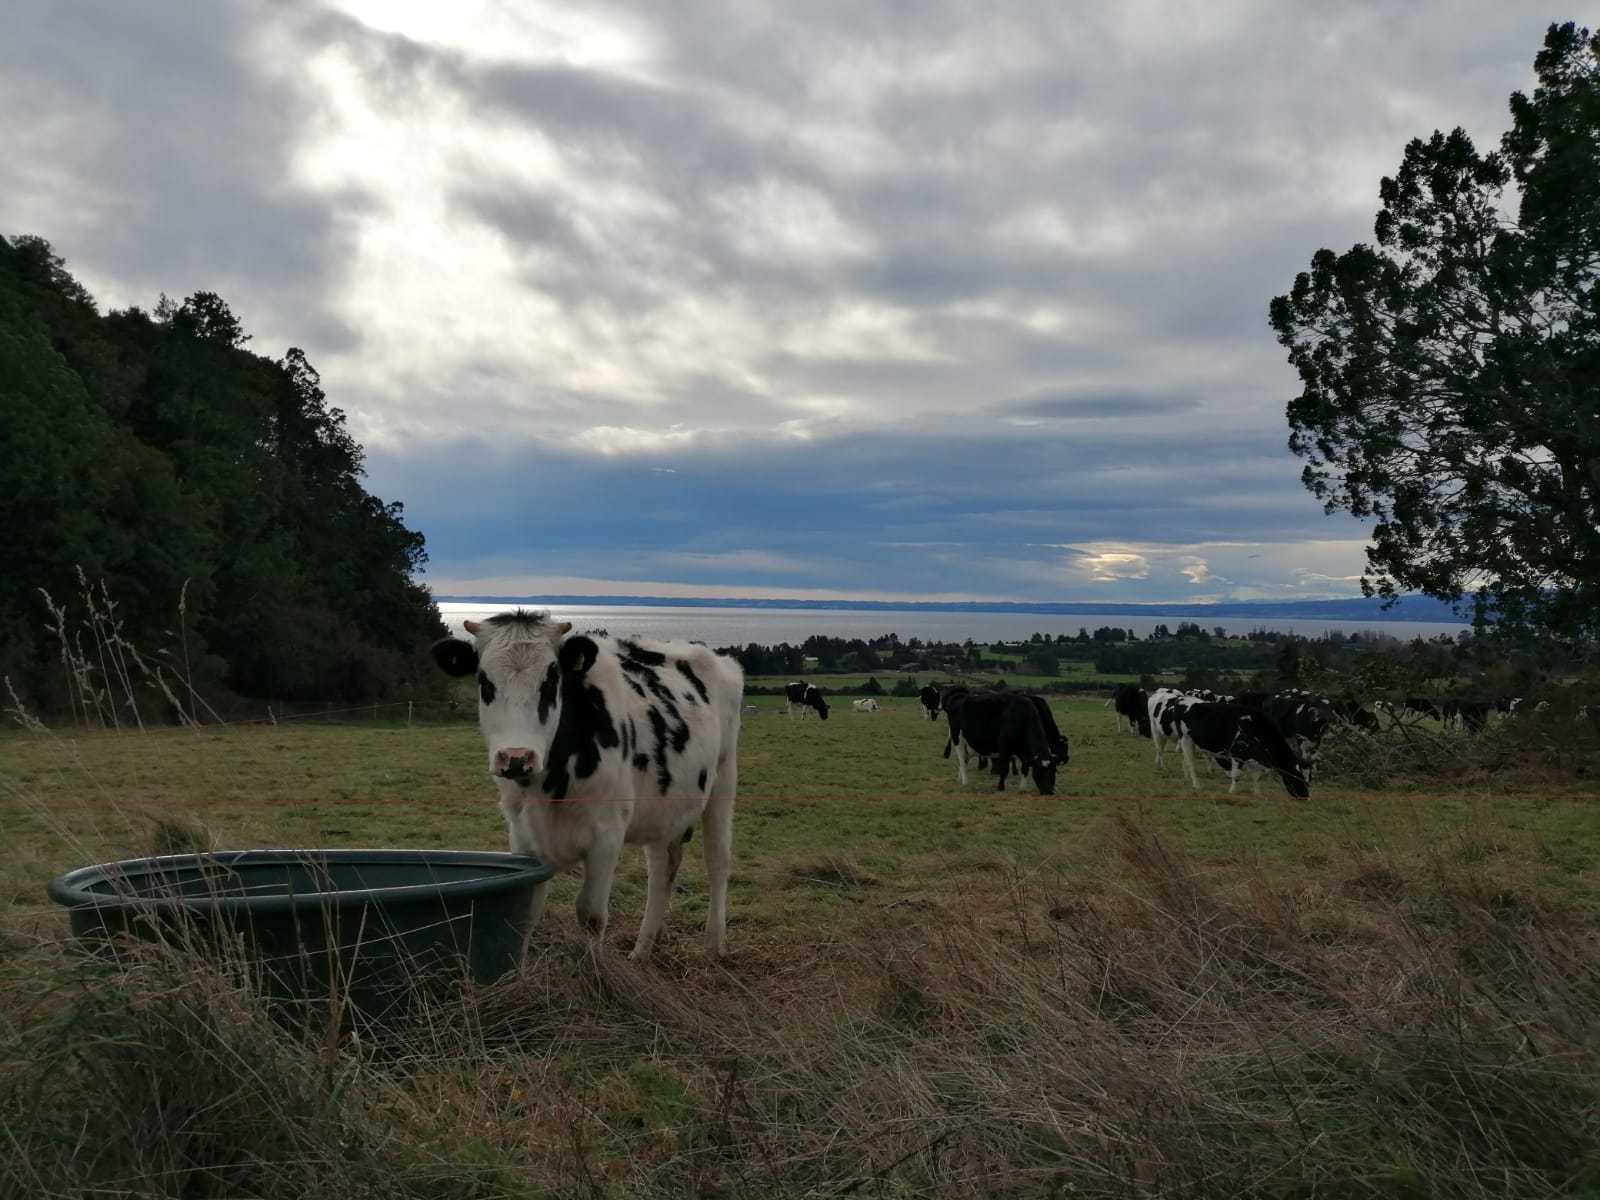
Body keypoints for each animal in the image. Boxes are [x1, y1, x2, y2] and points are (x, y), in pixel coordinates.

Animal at [432, 614, 742, 966]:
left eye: (551, 681)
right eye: (485, 682)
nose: (516, 758)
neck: (550, 785)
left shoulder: (606, 835)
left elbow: (591, 915)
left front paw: (595, 971)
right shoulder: (523, 836)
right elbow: (527, 909)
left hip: (723, 779)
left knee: (717, 861)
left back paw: (714, 946)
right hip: (662, 807)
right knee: (662, 868)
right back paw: (642, 950)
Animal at [1164, 704, 1312, 800]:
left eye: (1309, 779)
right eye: (1297, 776)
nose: (1306, 796)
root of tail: (1182, 704)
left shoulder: (1253, 757)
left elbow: (1256, 776)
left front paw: (1257, 793)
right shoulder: (1238, 753)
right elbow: (1236, 775)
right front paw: (1232, 791)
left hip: (1192, 743)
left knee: (1185, 761)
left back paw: (1187, 779)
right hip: (1186, 739)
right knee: (1191, 763)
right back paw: (1196, 785)